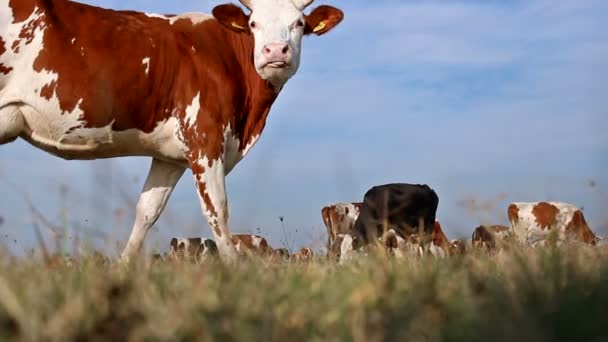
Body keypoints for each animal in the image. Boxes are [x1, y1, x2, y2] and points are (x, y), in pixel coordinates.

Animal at [0, 0, 342, 264]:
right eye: (254, 23)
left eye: (299, 23)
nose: (275, 51)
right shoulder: (206, 141)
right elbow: (217, 210)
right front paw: (234, 271)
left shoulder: (170, 158)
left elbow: (146, 212)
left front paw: (123, 270)